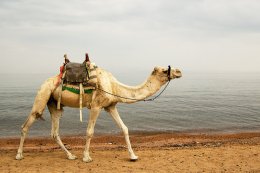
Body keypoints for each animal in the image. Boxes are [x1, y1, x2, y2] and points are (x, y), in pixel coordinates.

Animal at [15, 65, 182, 162]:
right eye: (164, 70)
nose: (179, 71)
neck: (114, 86)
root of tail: (43, 83)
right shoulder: (96, 106)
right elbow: (90, 132)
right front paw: (86, 157)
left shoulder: (110, 106)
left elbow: (124, 128)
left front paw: (133, 156)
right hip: (42, 96)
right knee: (26, 124)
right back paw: (19, 155)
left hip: (55, 105)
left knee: (54, 132)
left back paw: (70, 155)